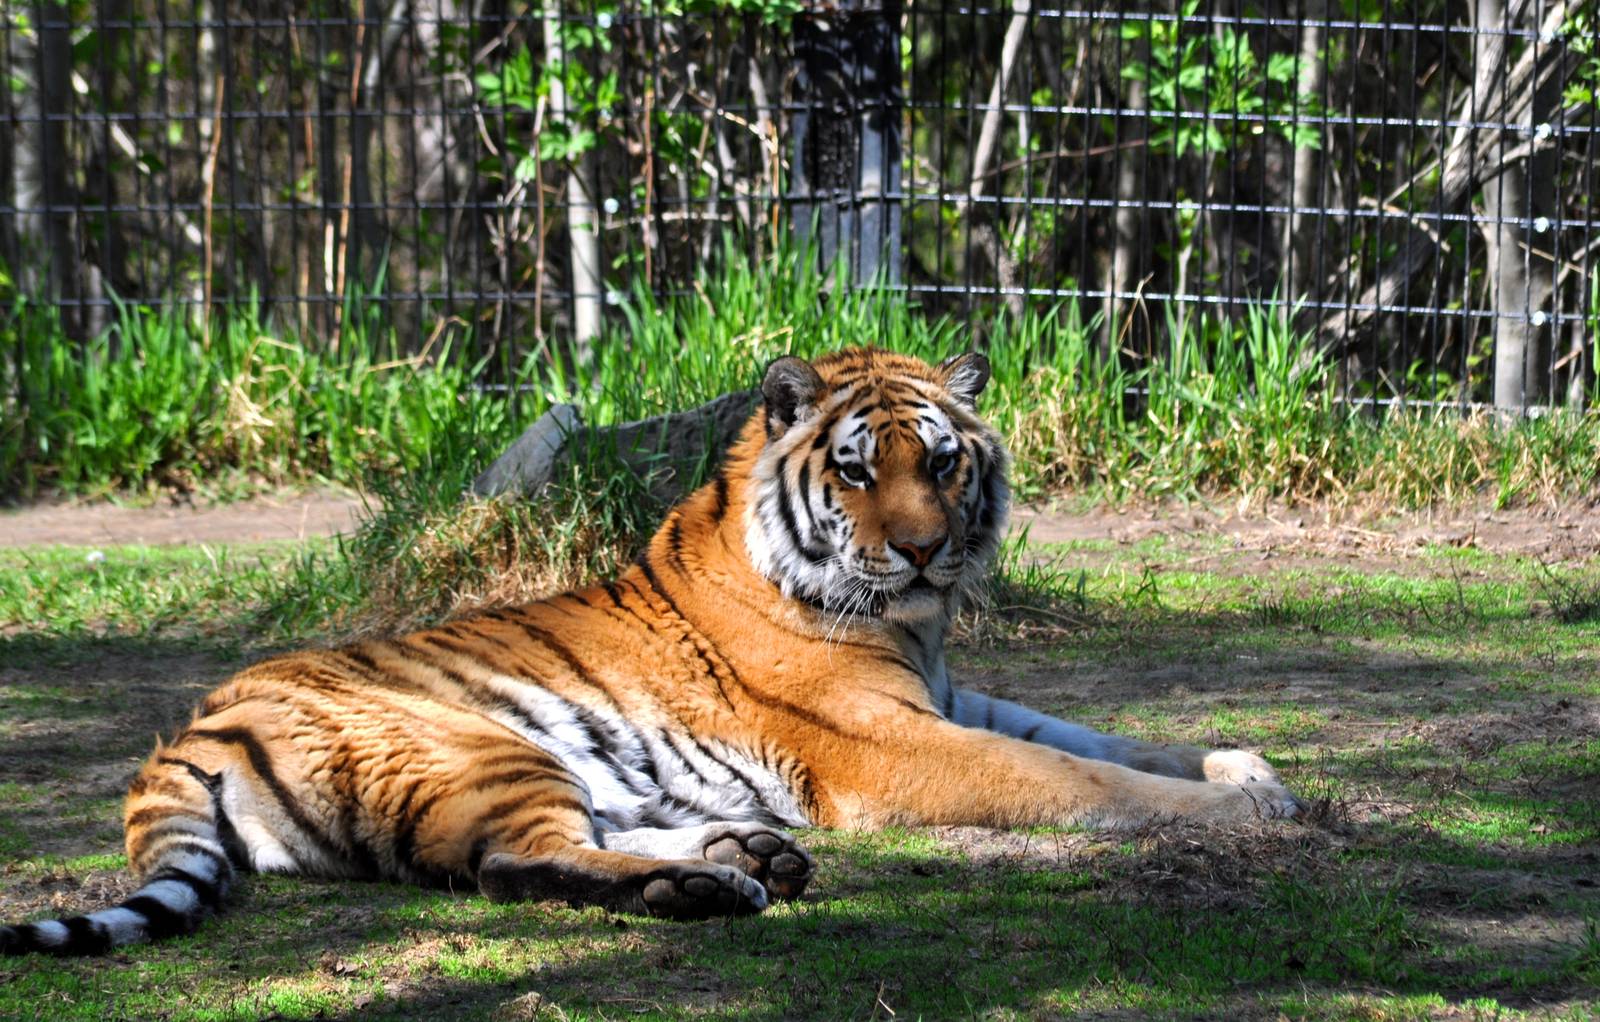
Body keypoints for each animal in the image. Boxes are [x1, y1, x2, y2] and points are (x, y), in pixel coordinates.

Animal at [1, 347, 1298, 956]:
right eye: (855, 470)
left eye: (942, 460)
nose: (927, 552)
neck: (908, 622)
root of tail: (188, 727)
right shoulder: (888, 742)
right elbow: (1075, 772)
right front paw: (1244, 809)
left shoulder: (949, 693)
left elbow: (1103, 735)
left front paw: (1250, 768)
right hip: (481, 744)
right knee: (512, 864)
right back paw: (707, 884)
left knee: (579, 833)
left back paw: (749, 853)